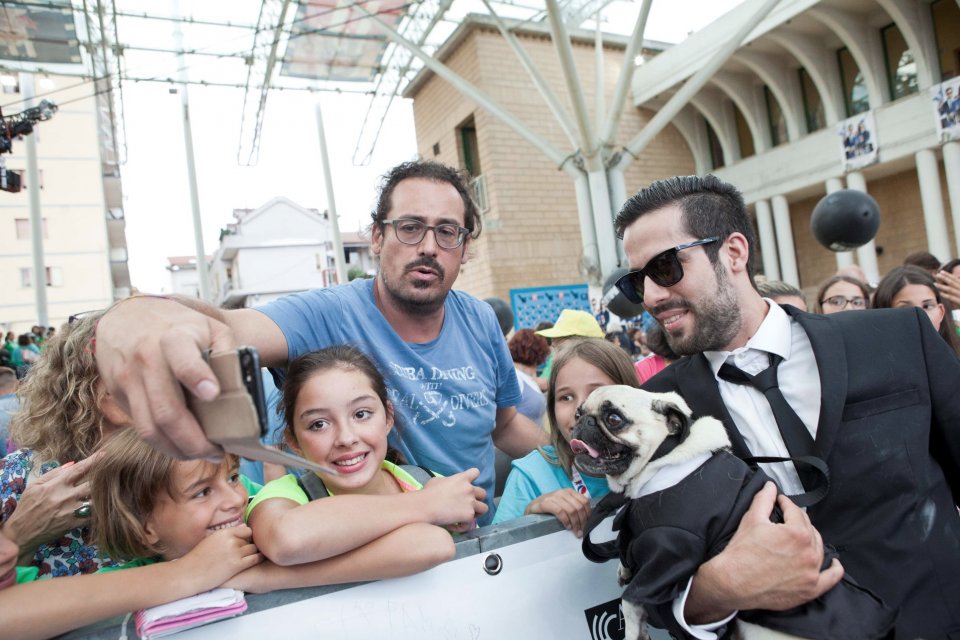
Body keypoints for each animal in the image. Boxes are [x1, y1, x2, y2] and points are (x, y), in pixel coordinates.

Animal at [568, 384, 892, 640]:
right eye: (578, 413)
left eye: (613, 419)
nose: (581, 423)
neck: (662, 459)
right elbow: (626, 554)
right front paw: (623, 570)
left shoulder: (670, 553)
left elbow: (631, 598)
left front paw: (634, 631)